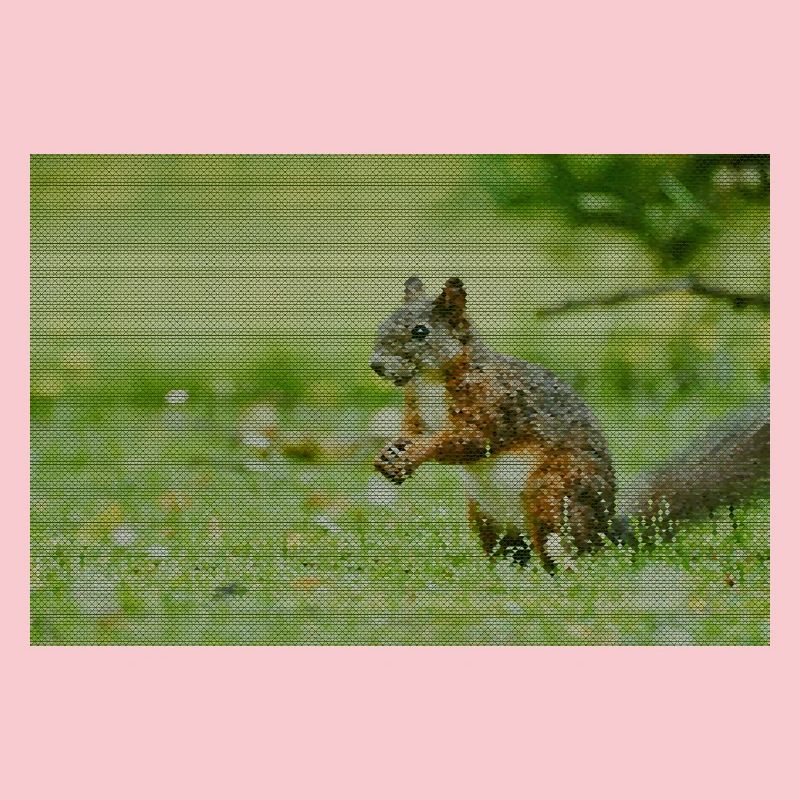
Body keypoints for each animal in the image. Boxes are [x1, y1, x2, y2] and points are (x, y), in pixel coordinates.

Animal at [370, 276, 769, 571]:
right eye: (384, 322)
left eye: (420, 332)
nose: (376, 365)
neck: (431, 381)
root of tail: (606, 530)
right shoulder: (417, 409)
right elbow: (412, 431)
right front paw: (390, 452)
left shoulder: (497, 403)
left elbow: (470, 439)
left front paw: (416, 453)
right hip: (485, 516)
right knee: (513, 553)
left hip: (552, 493)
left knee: (567, 549)